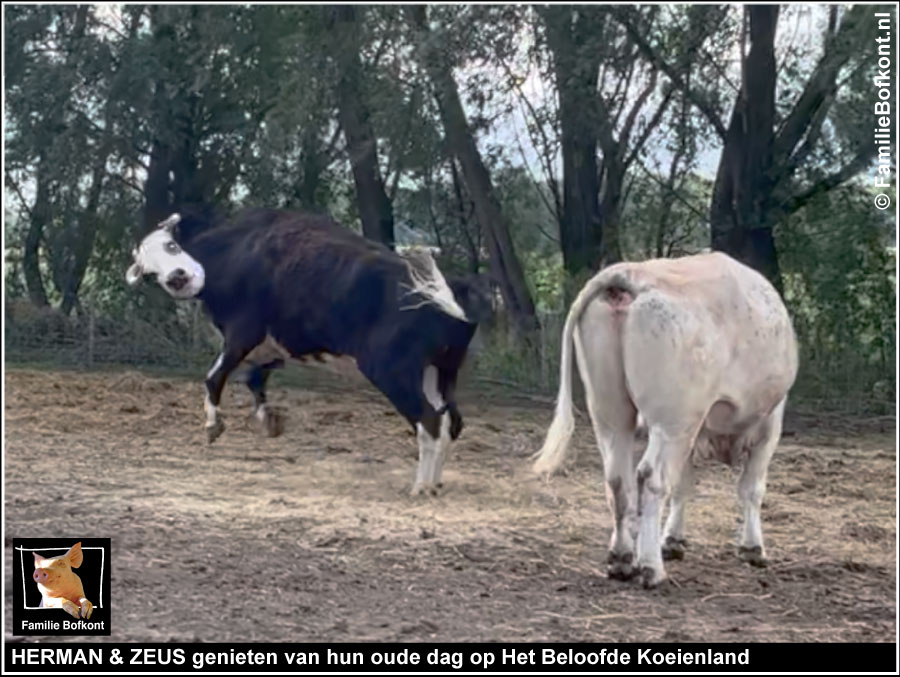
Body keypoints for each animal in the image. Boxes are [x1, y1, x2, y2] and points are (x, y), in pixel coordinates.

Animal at [128, 205, 478, 492]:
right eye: (149, 271)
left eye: (171, 245)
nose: (177, 277)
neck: (234, 252)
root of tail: (443, 294)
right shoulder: (268, 347)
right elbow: (253, 381)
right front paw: (268, 421)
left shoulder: (242, 333)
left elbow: (214, 378)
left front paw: (214, 425)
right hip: (437, 373)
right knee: (451, 421)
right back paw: (434, 482)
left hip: (394, 372)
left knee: (429, 421)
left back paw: (421, 487)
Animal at [532, 251, 800, 588]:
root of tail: (629, 274)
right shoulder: (768, 426)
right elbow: (751, 489)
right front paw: (753, 547)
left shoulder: (693, 433)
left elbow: (683, 486)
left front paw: (672, 539)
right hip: (673, 420)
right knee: (651, 478)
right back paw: (651, 567)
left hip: (610, 410)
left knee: (618, 479)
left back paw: (621, 559)